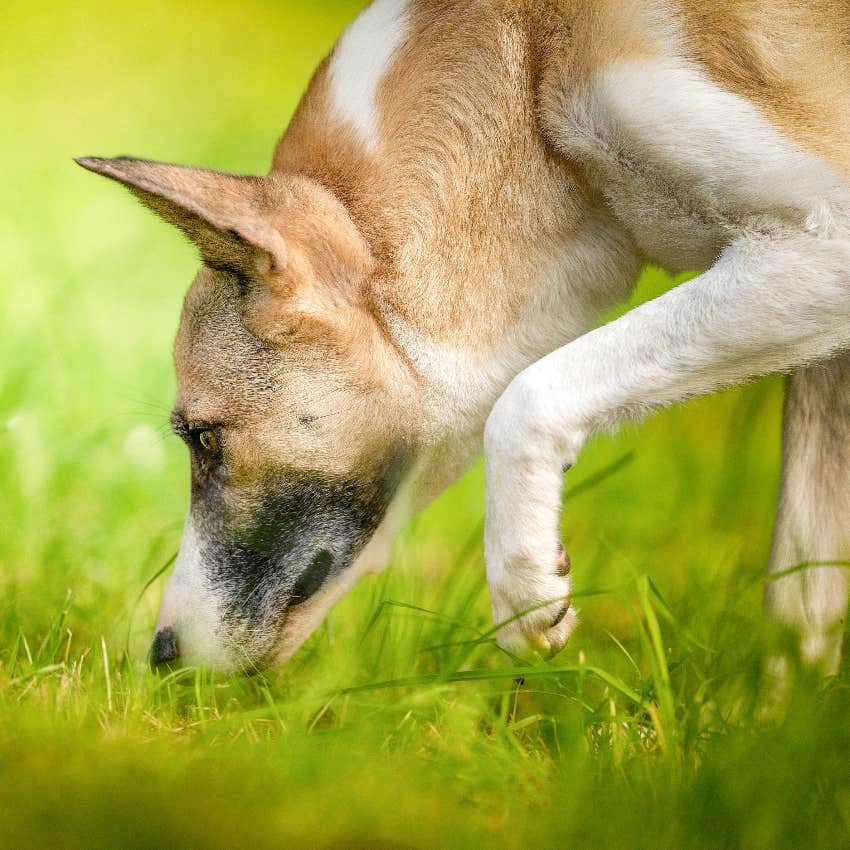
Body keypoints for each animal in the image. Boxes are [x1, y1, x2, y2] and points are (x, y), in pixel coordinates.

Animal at [76, 1, 844, 676]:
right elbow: (802, 604)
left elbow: (527, 398)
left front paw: (526, 588)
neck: (530, 71)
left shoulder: (818, 244)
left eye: (205, 438)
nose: (160, 661)